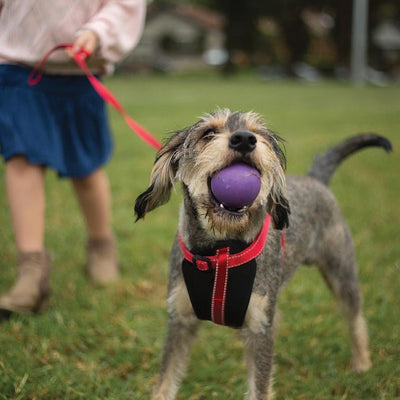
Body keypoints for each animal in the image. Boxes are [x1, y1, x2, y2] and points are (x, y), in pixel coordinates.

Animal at [134, 109, 390, 400]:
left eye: (257, 132)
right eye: (208, 133)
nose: (245, 139)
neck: (221, 251)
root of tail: (316, 179)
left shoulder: (260, 327)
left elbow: (260, 387)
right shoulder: (180, 320)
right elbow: (165, 381)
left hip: (342, 271)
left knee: (355, 317)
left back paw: (362, 364)